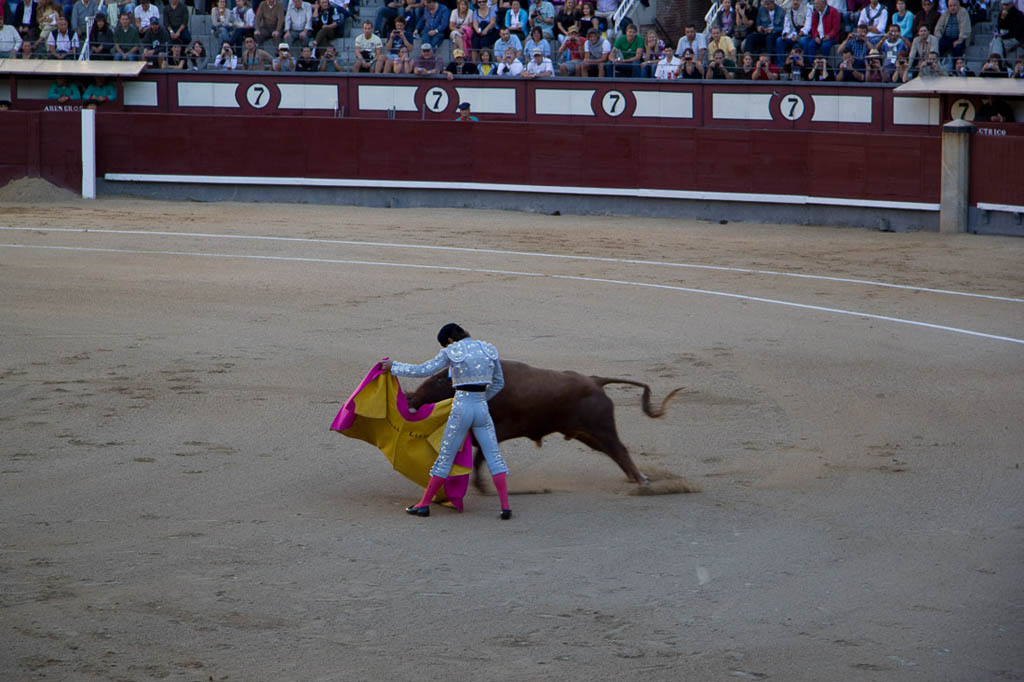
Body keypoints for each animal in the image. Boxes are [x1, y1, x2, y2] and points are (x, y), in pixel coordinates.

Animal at [405, 358, 679, 485]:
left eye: (439, 383)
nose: (412, 399)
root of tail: (595, 380)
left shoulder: (493, 432)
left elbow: (481, 457)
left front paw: (480, 485)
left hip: (601, 429)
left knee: (619, 449)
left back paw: (641, 481)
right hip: (587, 434)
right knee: (614, 452)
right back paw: (639, 478)